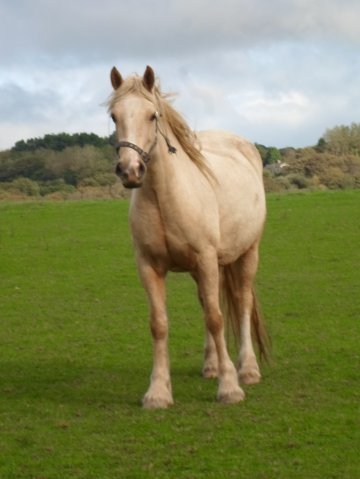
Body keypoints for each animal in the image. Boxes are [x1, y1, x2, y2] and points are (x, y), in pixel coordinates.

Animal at [107, 64, 268, 408]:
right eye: (114, 116)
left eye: (152, 115)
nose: (130, 171)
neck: (165, 197)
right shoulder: (150, 266)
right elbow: (159, 324)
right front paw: (157, 392)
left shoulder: (206, 259)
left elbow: (216, 318)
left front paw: (230, 387)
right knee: (208, 302)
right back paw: (210, 365)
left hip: (248, 253)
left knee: (241, 302)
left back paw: (248, 369)